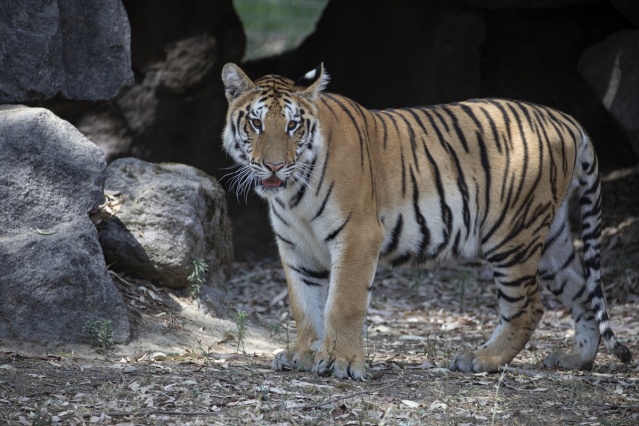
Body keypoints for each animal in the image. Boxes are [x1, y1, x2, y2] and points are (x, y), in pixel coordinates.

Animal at [220, 61, 632, 378]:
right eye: (256, 124)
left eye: (293, 126)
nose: (274, 166)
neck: (293, 196)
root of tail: (567, 120)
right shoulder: (296, 247)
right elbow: (304, 305)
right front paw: (305, 355)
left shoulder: (358, 235)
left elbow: (343, 303)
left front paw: (341, 362)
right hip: (551, 242)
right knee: (582, 291)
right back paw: (575, 358)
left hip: (512, 234)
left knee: (528, 306)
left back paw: (481, 358)